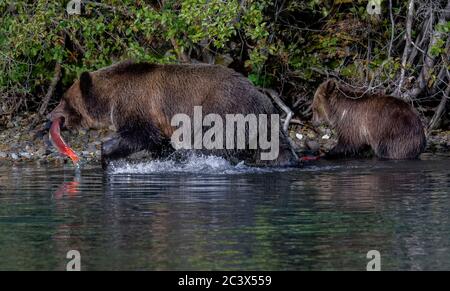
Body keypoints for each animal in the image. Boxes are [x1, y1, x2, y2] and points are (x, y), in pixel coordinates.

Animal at [49, 61, 298, 170]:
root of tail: (262, 99)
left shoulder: (138, 104)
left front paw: (106, 151)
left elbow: (141, 135)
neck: (110, 97)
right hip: (265, 125)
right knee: (276, 148)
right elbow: (159, 142)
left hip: (223, 111)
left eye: (63, 99)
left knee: (210, 143)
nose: (50, 115)